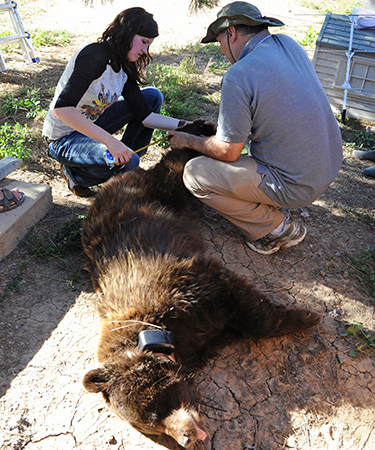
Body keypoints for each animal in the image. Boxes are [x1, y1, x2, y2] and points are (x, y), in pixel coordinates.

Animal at [81, 120, 322, 450]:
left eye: (157, 407)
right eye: (151, 427)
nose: (186, 437)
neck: (158, 331)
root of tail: (114, 182)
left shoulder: (190, 287)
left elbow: (250, 309)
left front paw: (308, 316)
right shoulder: (195, 336)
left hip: (157, 192)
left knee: (179, 165)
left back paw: (199, 128)